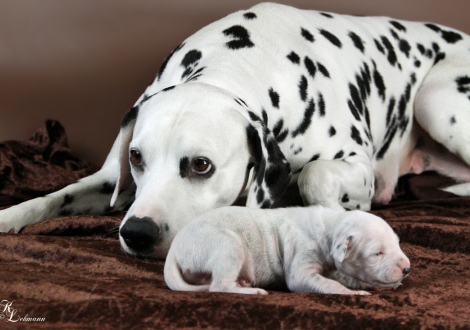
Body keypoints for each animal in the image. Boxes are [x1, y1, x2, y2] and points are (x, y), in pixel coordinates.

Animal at [0, 3, 470, 258]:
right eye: (136, 157)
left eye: (201, 165)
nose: (137, 233)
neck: (241, 62)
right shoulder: (109, 179)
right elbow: (53, 197)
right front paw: (11, 216)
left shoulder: (356, 165)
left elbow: (317, 176)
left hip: (435, 98)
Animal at [163, 205, 410, 296]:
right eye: (377, 253)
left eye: (397, 243)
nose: (407, 269)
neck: (330, 228)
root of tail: (173, 250)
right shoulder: (302, 260)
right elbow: (326, 283)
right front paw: (353, 294)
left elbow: (344, 277)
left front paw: (368, 285)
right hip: (226, 244)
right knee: (219, 286)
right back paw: (252, 291)